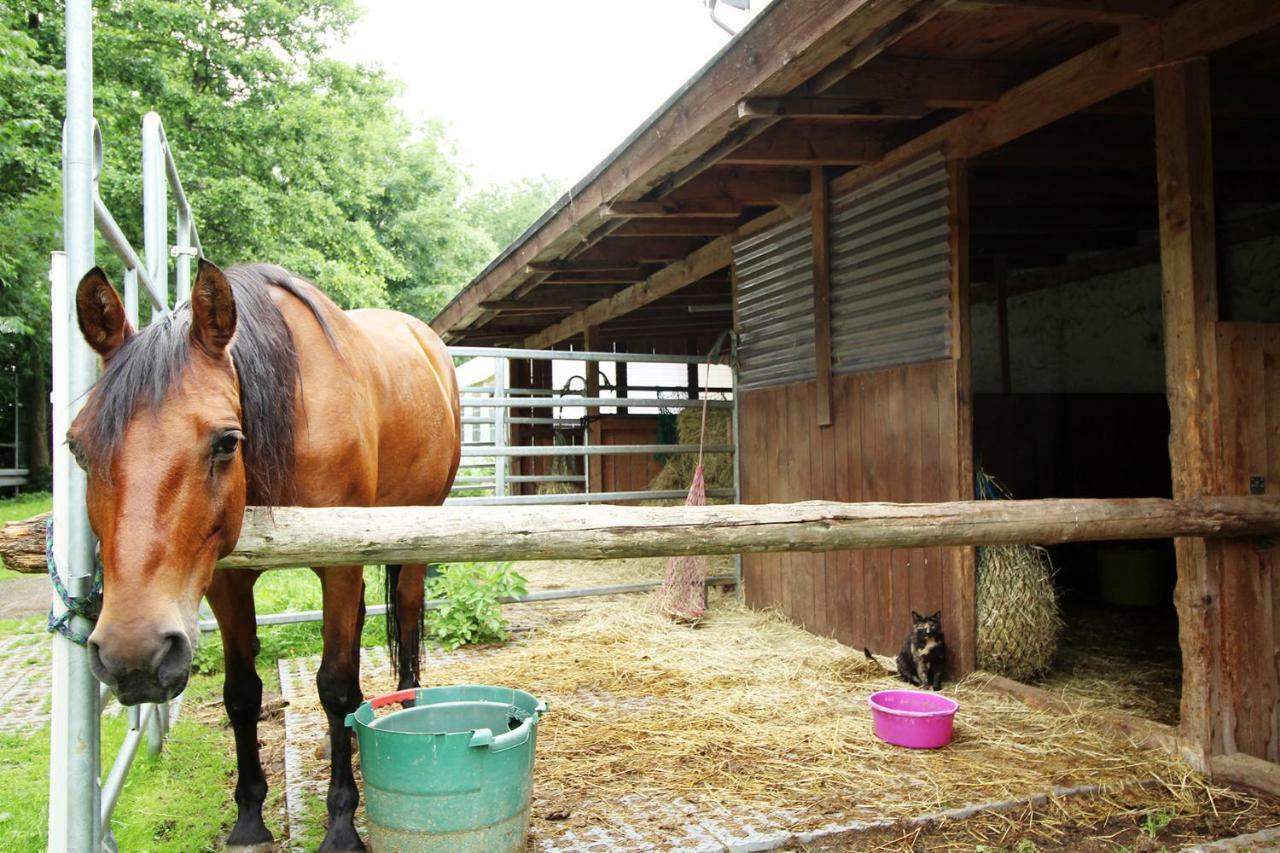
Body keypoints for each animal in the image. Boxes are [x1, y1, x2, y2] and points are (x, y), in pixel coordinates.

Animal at [66, 261, 460, 850]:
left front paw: (341, 823)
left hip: (419, 531)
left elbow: (335, 686)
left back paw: (408, 710)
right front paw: (250, 815)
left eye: (227, 441)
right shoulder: (226, 579)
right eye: (77, 447)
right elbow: (241, 693)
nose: (133, 656)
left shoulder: (339, 565)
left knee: (408, 618)